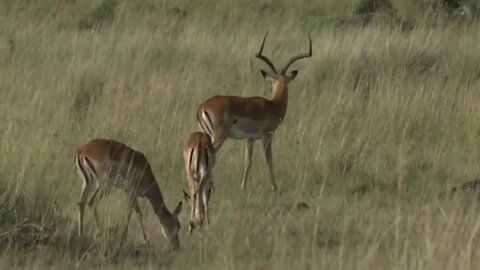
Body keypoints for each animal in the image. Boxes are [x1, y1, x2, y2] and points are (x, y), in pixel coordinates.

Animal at [197, 31, 314, 192]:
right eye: (273, 82)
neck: (273, 105)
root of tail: (203, 107)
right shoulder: (267, 136)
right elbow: (269, 161)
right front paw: (275, 188)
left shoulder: (250, 139)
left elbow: (248, 162)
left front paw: (243, 187)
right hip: (219, 137)